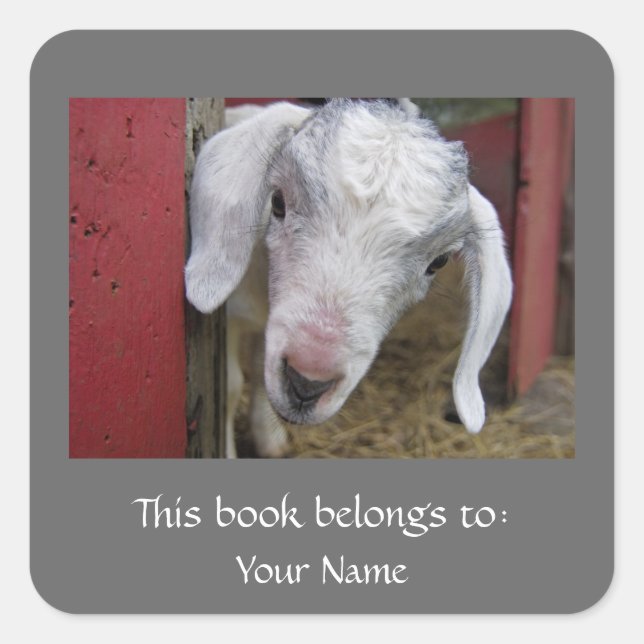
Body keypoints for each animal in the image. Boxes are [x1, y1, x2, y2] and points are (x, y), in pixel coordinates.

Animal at [185, 98, 512, 458]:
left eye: (438, 262)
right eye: (277, 201)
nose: (306, 384)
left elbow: (259, 368)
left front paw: (269, 440)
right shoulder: (231, 314)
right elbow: (230, 385)